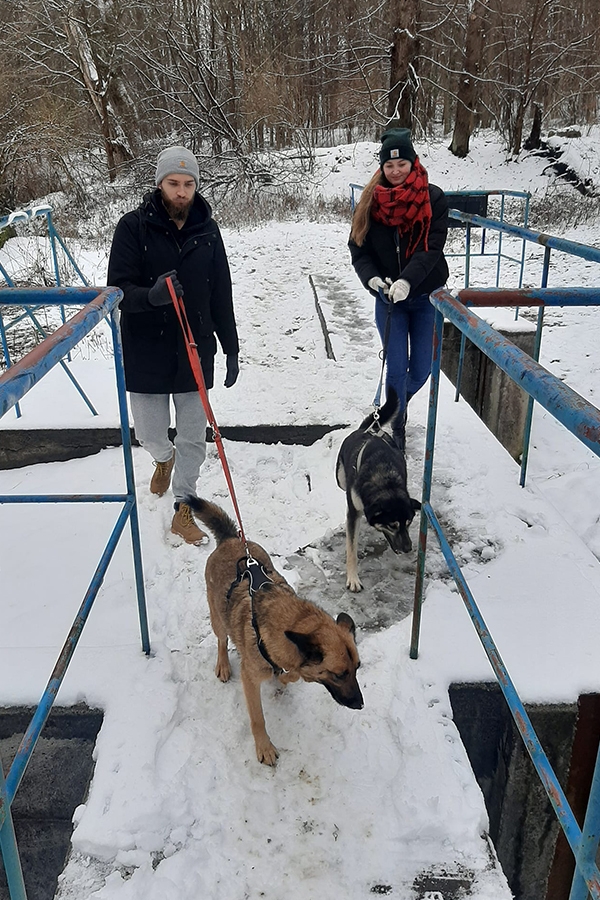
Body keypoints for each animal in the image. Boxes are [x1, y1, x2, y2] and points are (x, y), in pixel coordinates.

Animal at [186, 496, 360, 764]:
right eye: (339, 674)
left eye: (358, 668)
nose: (361, 705)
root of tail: (231, 538)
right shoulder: (250, 679)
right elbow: (258, 718)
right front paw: (264, 748)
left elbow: (290, 675)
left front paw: (285, 678)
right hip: (217, 617)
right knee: (221, 640)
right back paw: (223, 664)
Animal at [336, 384, 420, 592]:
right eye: (392, 525)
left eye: (409, 523)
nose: (408, 548)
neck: (385, 481)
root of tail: (367, 430)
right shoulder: (353, 512)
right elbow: (351, 549)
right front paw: (353, 579)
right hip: (340, 478)